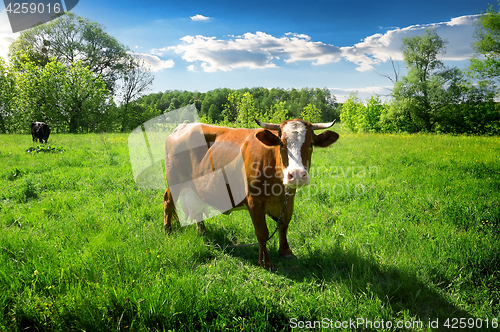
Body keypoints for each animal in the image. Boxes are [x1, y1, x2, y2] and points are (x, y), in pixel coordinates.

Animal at [164, 118, 340, 270]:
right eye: (282, 144)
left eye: (310, 144)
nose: (296, 174)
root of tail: (184, 126)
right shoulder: (254, 202)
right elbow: (262, 233)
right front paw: (265, 262)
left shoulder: (288, 200)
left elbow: (284, 225)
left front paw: (285, 251)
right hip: (174, 180)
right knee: (168, 201)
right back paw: (168, 230)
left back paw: (202, 231)